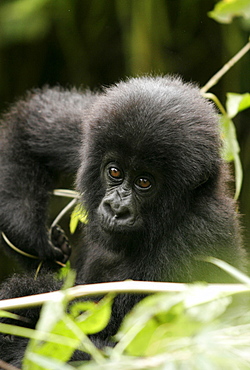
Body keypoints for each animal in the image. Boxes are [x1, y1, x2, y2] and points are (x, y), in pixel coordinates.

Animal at [0, 75, 245, 364]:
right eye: (115, 171)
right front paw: (27, 236)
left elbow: (119, 351)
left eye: (144, 182)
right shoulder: (89, 132)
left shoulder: (196, 239)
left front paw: (24, 297)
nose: (117, 208)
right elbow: (29, 125)